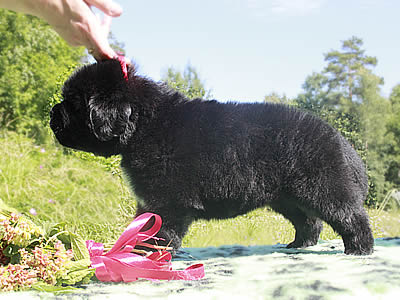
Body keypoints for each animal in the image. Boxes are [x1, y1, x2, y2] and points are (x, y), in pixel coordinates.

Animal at [50, 59, 376, 255]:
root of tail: (340, 139)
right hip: (286, 197)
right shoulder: (149, 199)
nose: (52, 114)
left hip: (323, 188)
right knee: (310, 222)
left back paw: (360, 249)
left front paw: (150, 256)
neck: (146, 125)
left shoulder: (168, 200)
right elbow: (145, 225)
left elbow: (161, 230)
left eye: (73, 104)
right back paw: (297, 245)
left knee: (351, 216)